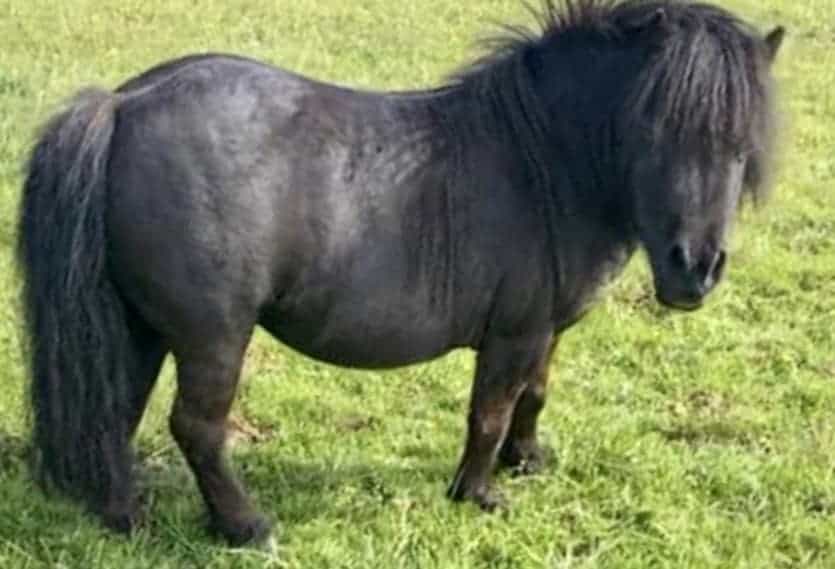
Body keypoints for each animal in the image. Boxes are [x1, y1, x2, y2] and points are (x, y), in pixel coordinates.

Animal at [17, 0, 784, 546]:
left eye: (741, 146)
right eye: (652, 127)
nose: (695, 269)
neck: (543, 159)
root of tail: (124, 104)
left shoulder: (545, 330)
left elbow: (533, 397)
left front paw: (527, 460)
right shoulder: (512, 334)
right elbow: (489, 411)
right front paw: (479, 492)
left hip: (140, 325)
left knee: (114, 410)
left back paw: (124, 513)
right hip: (213, 335)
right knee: (197, 427)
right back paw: (244, 526)